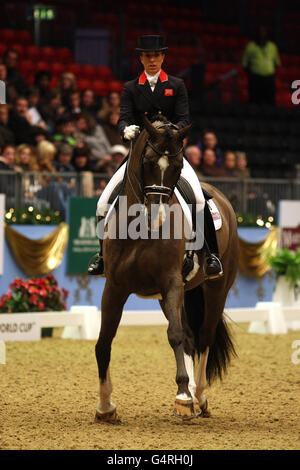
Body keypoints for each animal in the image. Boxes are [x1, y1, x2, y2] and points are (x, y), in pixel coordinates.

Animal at [95, 116, 238, 422]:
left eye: (178, 166)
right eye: (148, 162)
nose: (157, 217)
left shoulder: (171, 282)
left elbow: (174, 335)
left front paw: (183, 397)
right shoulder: (115, 286)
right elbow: (104, 341)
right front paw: (105, 406)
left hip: (217, 287)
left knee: (204, 336)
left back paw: (198, 396)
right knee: (190, 336)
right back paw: (193, 393)